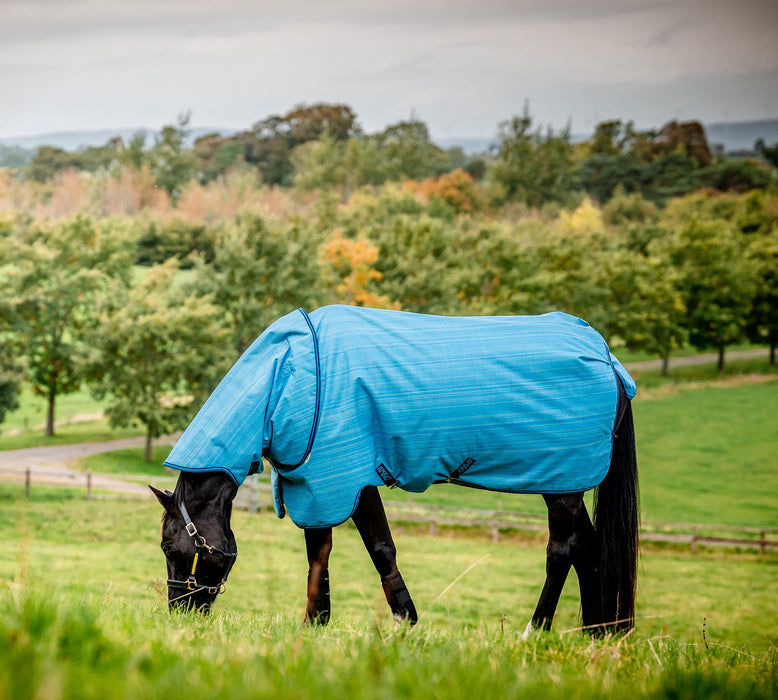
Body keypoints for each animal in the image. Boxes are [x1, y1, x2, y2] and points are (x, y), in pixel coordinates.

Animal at [150, 306, 636, 636]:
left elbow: (377, 549)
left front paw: (403, 622)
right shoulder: (316, 485)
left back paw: (533, 632)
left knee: (562, 551)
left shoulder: (347, 479)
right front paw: (317, 625)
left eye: (170, 546)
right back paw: (596, 634)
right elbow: (320, 554)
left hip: (563, 485)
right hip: (570, 480)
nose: (179, 613)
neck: (291, 377)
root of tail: (609, 362)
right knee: (588, 548)